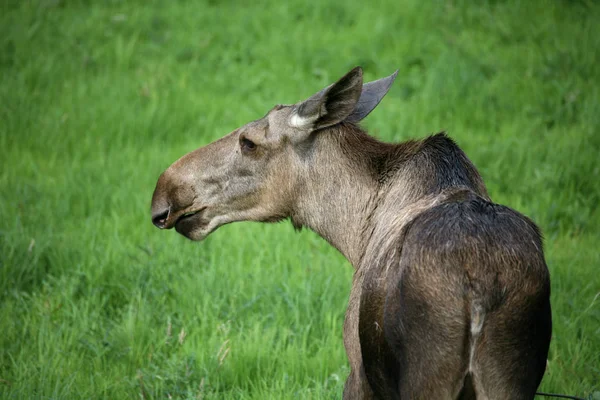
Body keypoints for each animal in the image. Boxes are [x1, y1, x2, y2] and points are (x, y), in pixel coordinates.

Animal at [152, 67, 552, 398]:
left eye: (249, 142)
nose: (164, 193)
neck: (352, 233)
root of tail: (480, 289)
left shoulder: (358, 370)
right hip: (508, 379)